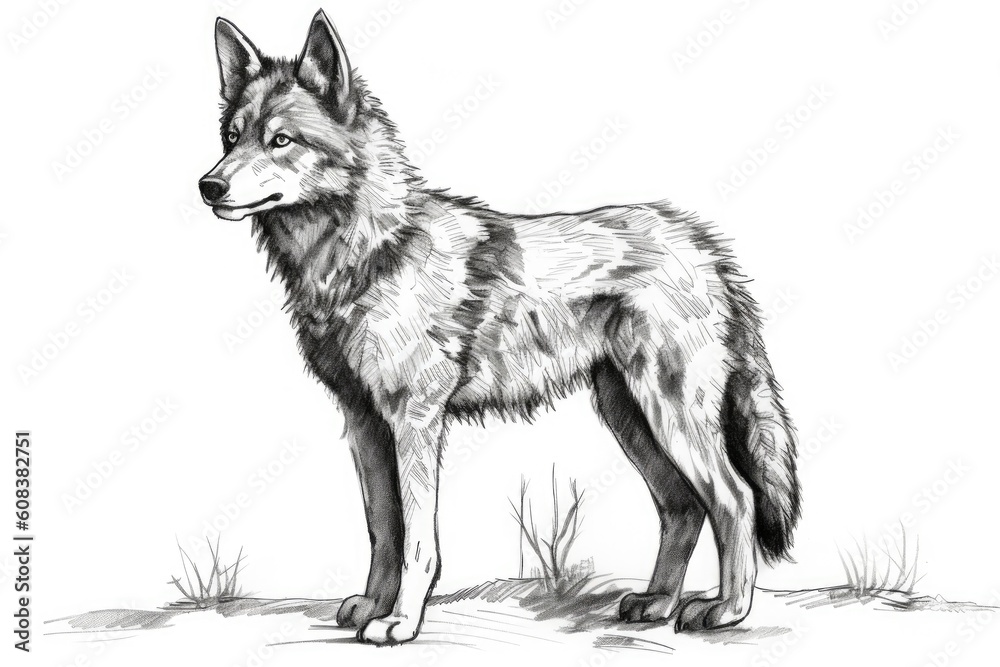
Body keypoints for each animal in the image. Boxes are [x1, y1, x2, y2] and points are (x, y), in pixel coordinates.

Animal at [199, 10, 800, 645]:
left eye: (280, 140)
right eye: (232, 137)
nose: (208, 185)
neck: (370, 252)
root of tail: (702, 243)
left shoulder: (415, 420)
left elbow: (417, 541)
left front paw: (402, 621)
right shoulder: (365, 422)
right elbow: (383, 530)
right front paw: (373, 606)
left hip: (671, 415)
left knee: (736, 499)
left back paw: (728, 610)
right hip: (630, 417)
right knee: (683, 506)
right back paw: (658, 601)